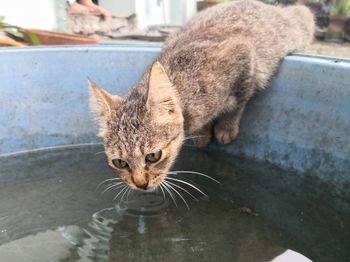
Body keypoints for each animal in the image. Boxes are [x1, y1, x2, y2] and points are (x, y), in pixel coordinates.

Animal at [88, 1, 314, 191]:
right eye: (120, 162)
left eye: (153, 156)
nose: (140, 184)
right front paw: (203, 133)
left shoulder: (244, 54)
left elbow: (238, 102)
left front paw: (226, 126)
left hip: (300, 21)